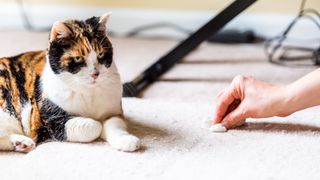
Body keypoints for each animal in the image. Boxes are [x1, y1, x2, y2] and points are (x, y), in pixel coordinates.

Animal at [0, 13, 141, 153]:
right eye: (78, 58)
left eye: (101, 54)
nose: (95, 74)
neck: (89, 92)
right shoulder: (50, 121)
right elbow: (94, 125)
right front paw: (98, 126)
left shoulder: (114, 111)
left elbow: (115, 125)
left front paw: (127, 141)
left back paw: (22, 143)